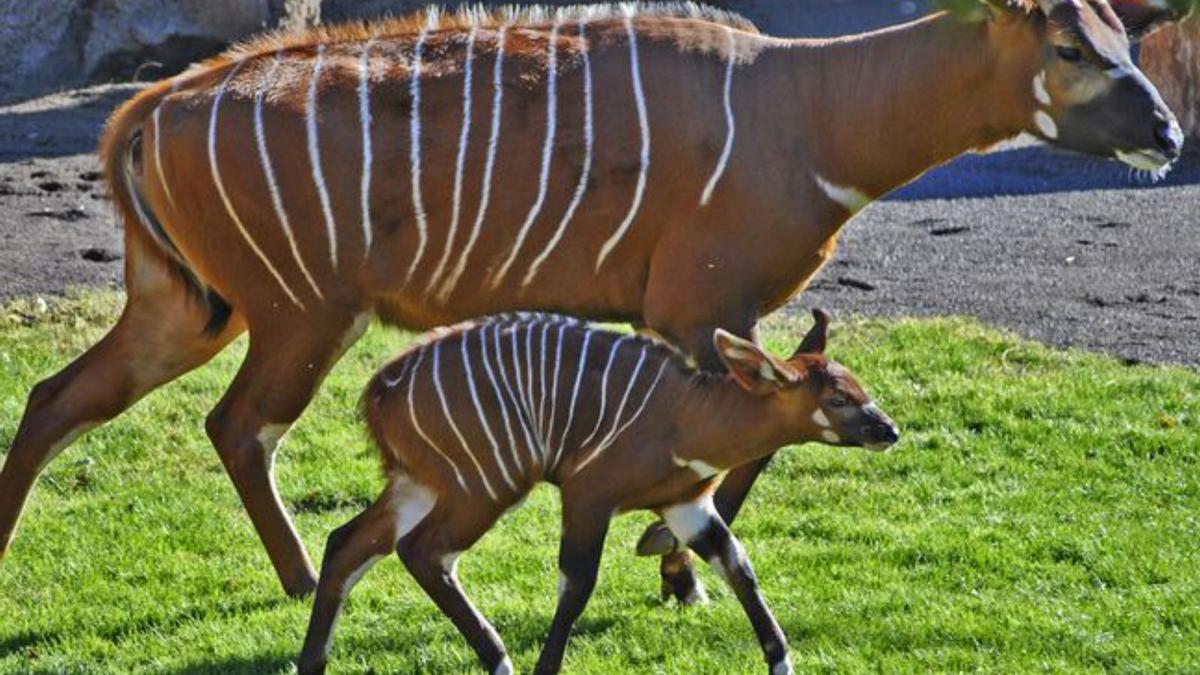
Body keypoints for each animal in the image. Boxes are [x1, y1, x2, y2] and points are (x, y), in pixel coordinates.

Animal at [0, 1, 1190, 598]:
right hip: (300, 313)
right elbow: (741, 445)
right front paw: (671, 564)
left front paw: (670, 565)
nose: (1169, 132)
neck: (805, 106)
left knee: (60, 400)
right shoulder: (697, 313)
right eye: (1071, 45)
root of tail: (152, 107)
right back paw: (302, 582)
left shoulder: (711, 320)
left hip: (191, 307)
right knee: (239, 424)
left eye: (1130, 39)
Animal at [300, 312, 902, 672]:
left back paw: (313, 661)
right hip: (483, 485)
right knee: (423, 552)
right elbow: (577, 584)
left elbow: (739, 567)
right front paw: (546, 667)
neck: (690, 414)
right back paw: (500, 660)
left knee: (347, 542)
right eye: (839, 399)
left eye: (861, 388)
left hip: (420, 483)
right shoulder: (588, 494)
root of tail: (379, 391)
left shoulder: (687, 505)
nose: (889, 430)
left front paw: (781, 661)